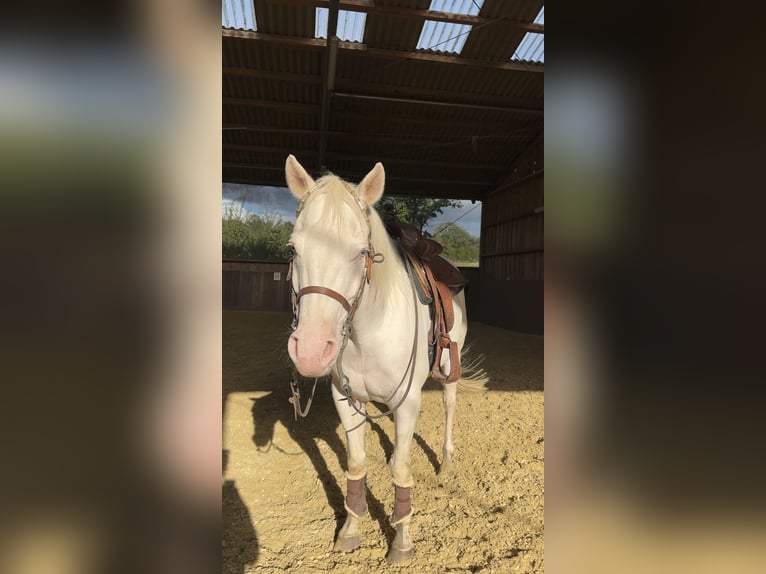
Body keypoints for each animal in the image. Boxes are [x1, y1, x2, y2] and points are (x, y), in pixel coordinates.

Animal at [282, 155, 486, 564]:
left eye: (362, 252)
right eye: (294, 250)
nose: (311, 350)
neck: (368, 330)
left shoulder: (407, 402)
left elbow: (401, 469)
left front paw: (402, 540)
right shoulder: (347, 399)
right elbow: (357, 463)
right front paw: (350, 529)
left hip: (449, 369)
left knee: (450, 405)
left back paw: (446, 464)